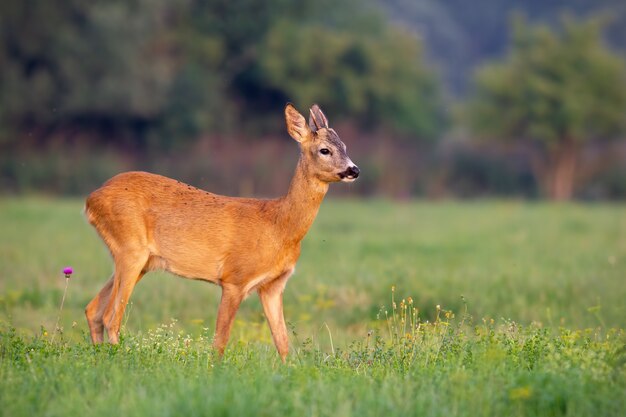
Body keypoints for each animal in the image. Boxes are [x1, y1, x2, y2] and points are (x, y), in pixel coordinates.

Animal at [83, 102, 358, 360]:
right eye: (325, 150)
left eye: (345, 146)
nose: (354, 170)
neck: (279, 225)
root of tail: (91, 199)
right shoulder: (234, 278)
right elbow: (220, 342)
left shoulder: (273, 285)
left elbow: (282, 343)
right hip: (130, 248)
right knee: (110, 316)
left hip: (143, 261)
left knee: (93, 309)